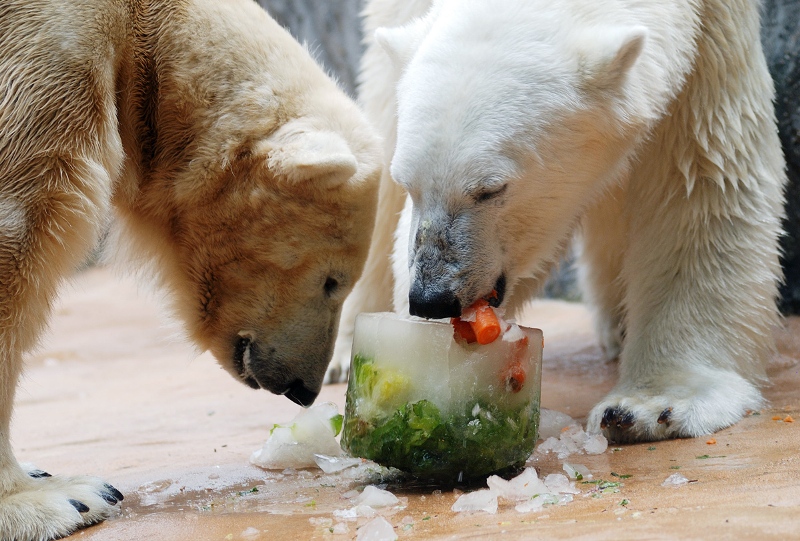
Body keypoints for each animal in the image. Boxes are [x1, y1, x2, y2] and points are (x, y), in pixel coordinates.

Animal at [0, 1, 382, 540]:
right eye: (333, 281)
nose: (305, 388)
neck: (138, 26)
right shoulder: (51, 52)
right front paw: (64, 497)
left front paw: (40, 473)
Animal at [332, 0, 788, 442]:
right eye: (411, 185)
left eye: (490, 189)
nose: (431, 299)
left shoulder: (711, 35)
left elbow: (699, 184)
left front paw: (652, 405)